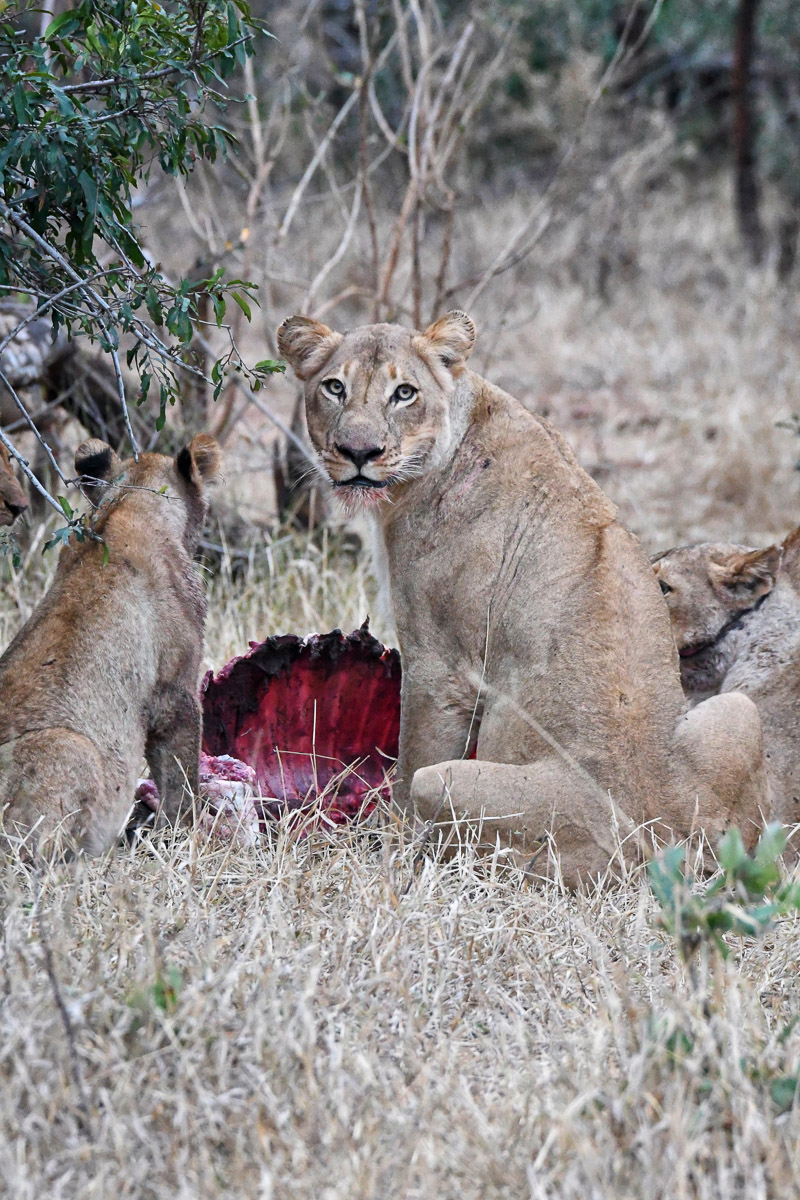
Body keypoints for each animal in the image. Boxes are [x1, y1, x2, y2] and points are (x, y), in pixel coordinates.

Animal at [276, 310, 768, 886]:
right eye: (335, 387)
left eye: (404, 393)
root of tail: (667, 847)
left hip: (454, 786)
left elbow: (410, 759)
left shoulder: (438, 663)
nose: (358, 453)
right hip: (740, 711)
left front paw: (384, 848)